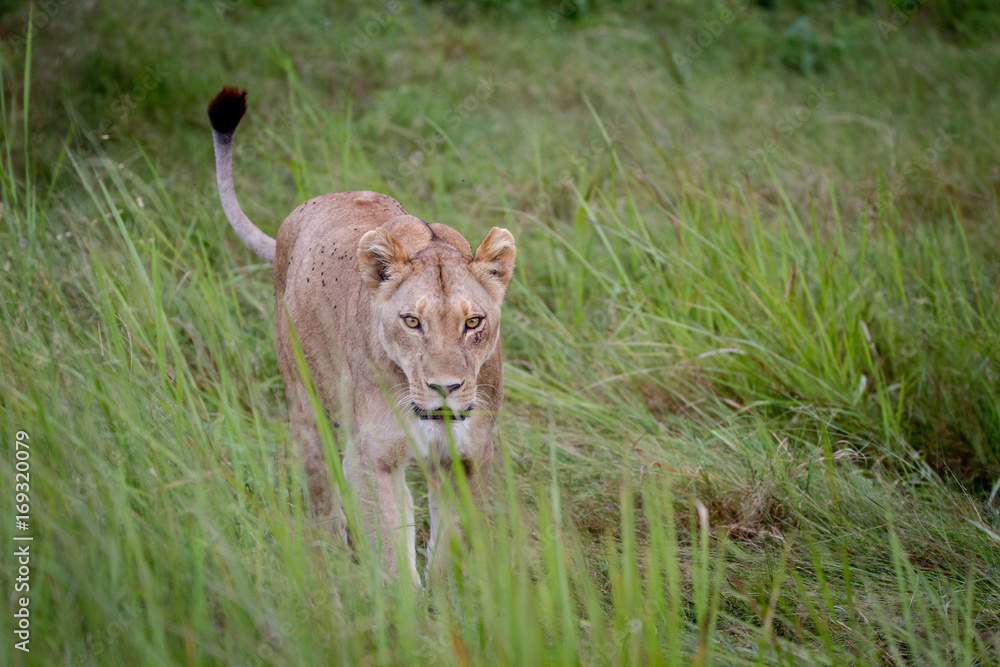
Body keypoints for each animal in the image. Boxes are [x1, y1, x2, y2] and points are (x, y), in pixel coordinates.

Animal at [207, 87, 515, 584]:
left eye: (473, 323)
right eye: (412, 322)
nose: (445, 389)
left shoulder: (468, 456)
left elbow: (449, 547)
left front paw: (446, 600)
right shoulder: (373, 459)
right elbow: (391, 555)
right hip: (306, 404)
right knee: (320, 492)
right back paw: (330, 563)